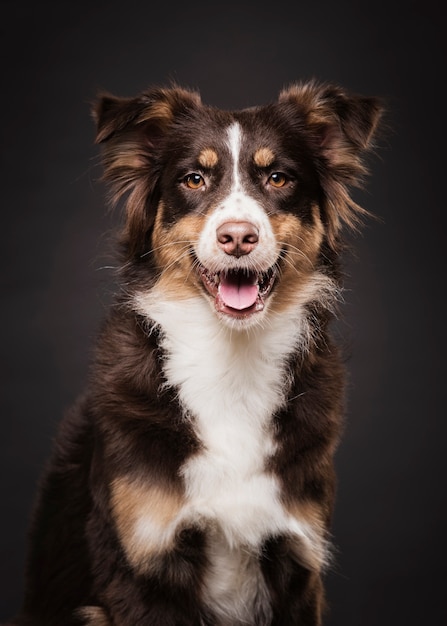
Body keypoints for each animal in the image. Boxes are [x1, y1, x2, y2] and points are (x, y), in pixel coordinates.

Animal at [7, 80, 384, 620]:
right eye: (193, 179)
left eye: (278, 178)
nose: (237, 237)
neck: (231, 361)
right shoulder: (142, 565)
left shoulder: (297, 559)